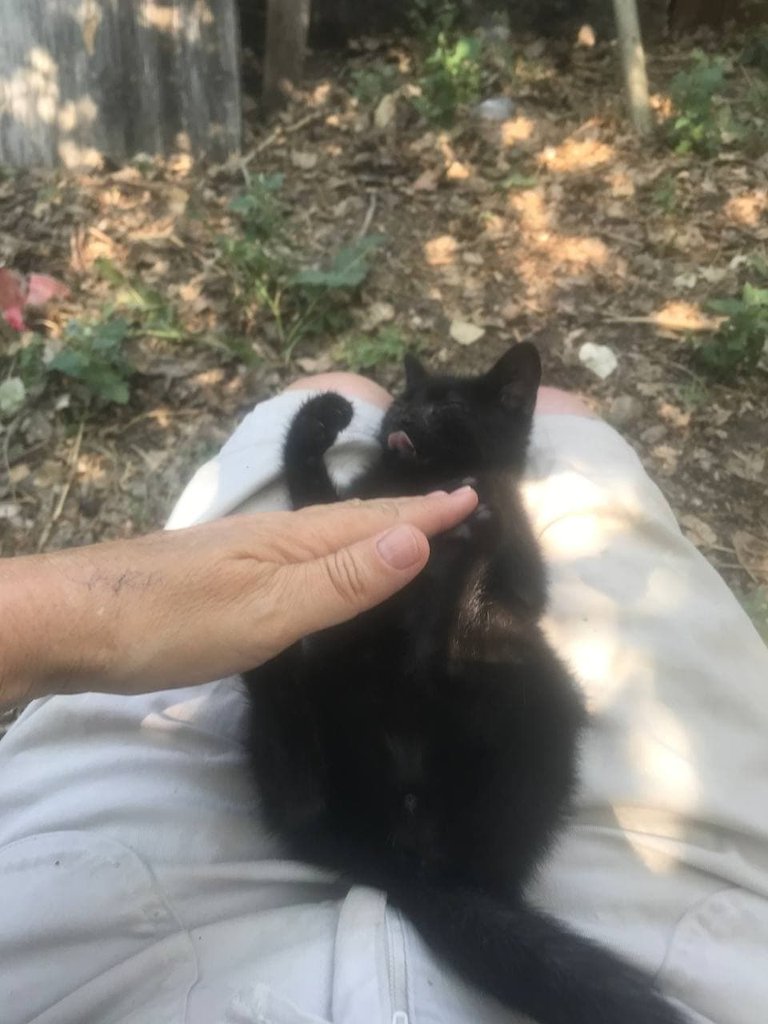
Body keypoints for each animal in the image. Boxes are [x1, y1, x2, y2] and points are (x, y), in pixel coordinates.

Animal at [243, 346, 688, 1024]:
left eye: (448, 406)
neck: (421, 481)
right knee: (301, 796)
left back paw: (464, 587)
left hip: (534, 693)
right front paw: (319, 421)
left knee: (485, 865)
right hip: (334, 696)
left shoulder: (526, 580)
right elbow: (315, 503)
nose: (402, 416)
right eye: (405, 400)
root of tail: (403, 855)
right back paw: (272, 659)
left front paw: (469, 523)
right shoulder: (342, 524)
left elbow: (514, 576)